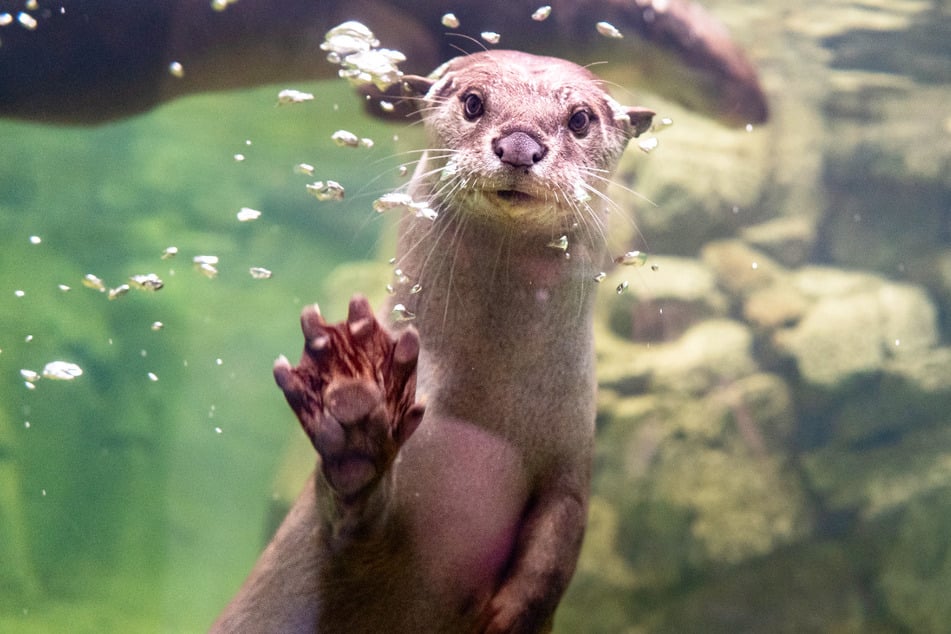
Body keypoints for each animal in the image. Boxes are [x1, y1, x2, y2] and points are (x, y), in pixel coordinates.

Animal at [210, 50, 656, 632]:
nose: (519, 146)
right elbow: (346, 521)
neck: (487, 411)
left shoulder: (571, 461)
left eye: (580, 118)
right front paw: (356, 422)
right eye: (473, 102)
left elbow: (555, 555)